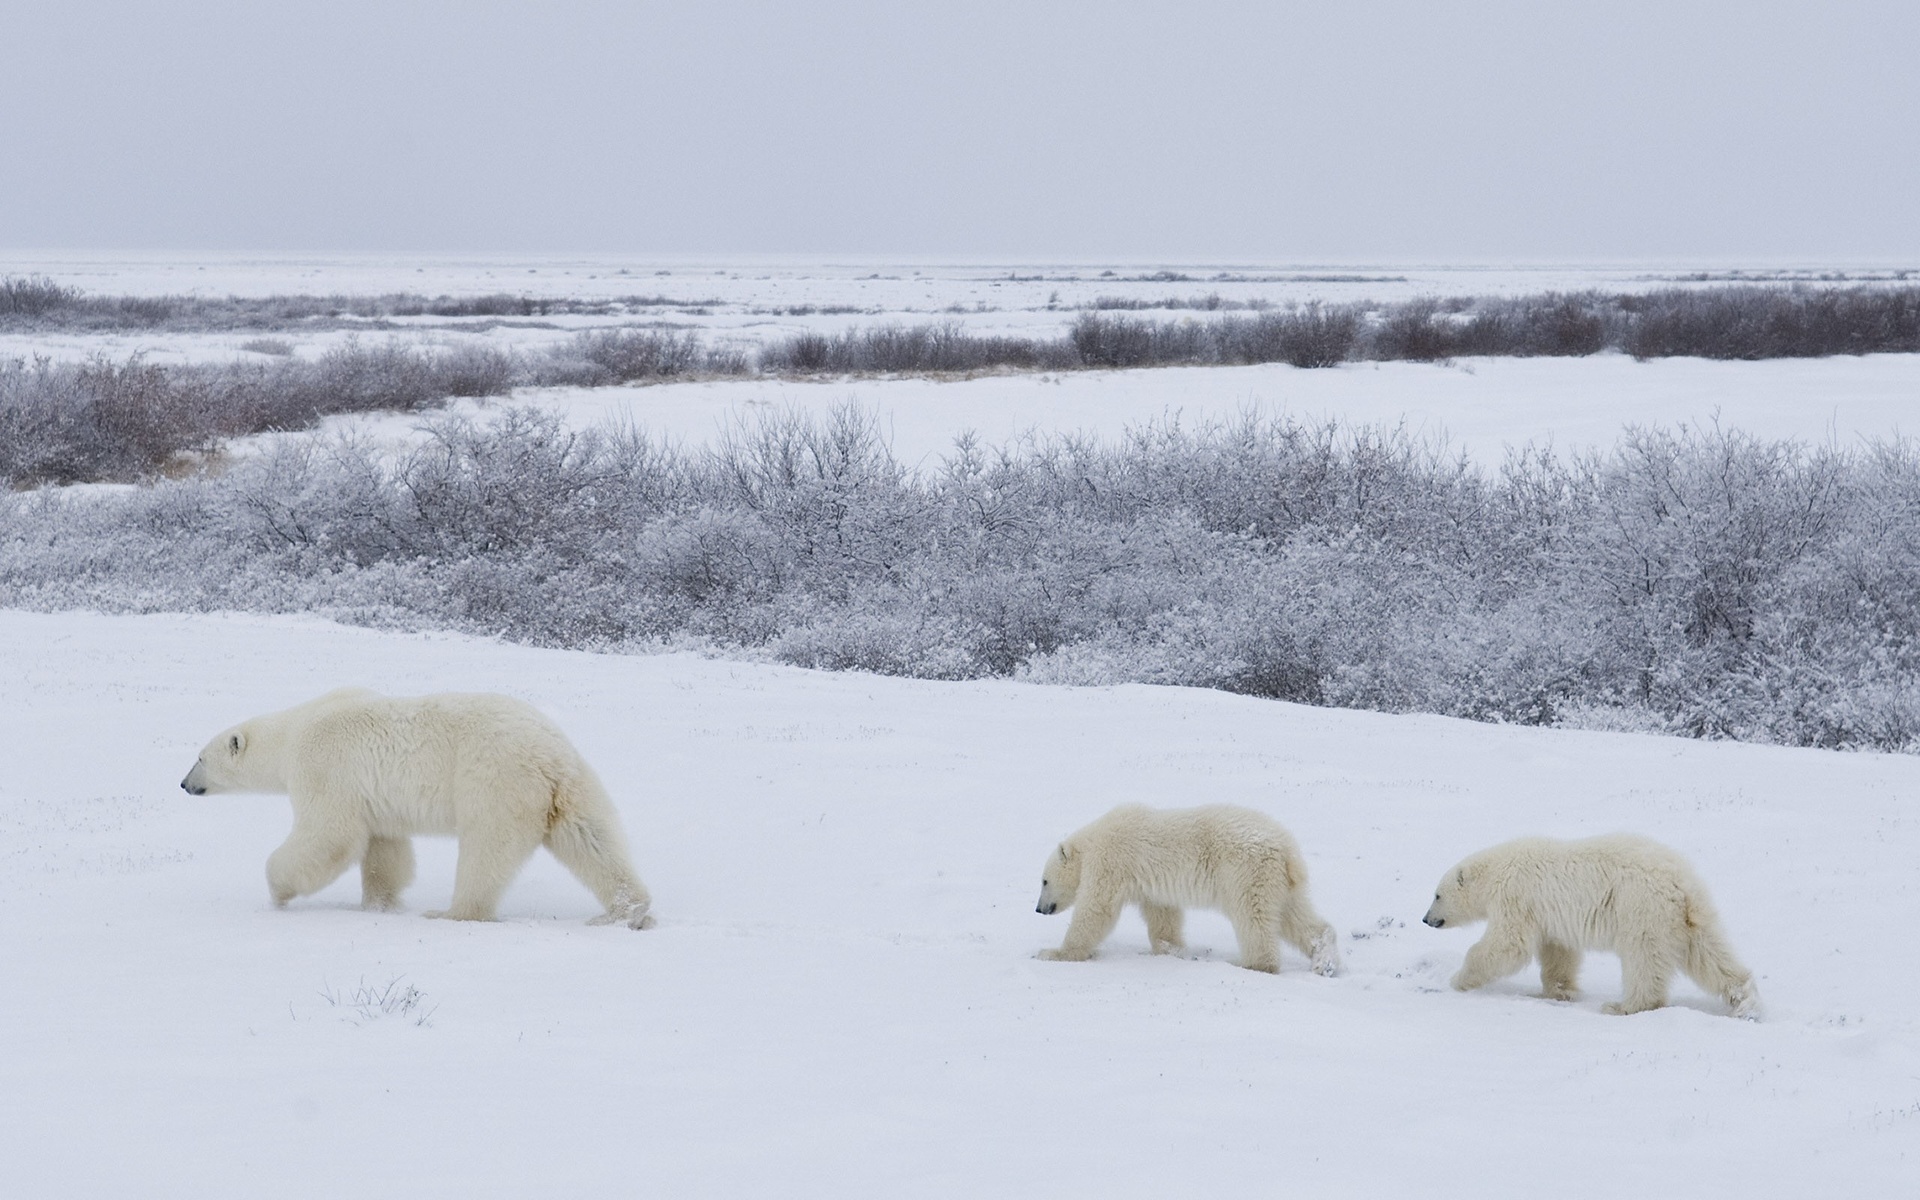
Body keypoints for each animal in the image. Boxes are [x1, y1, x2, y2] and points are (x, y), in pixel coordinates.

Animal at [183, 687, 656, 933]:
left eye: (200, 757)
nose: (184, 784)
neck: (293, 732)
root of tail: (549, 756)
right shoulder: (374, 798)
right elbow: (384, 850)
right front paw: (379, 905)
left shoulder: (326, 767)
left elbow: (329, 834)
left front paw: (278, 892)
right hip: (572, 786)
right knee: (593, 840)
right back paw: (625, 911)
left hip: (494, 781)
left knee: (486, 850)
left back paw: (453, 912)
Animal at [1036, 806, 1336, 975]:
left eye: (1044, 881)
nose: (1039, 908)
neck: (1093, 840)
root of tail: (1287, 850)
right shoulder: (1151, 885)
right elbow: (1163, 916)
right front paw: (1171, 950)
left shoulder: (1111, 861)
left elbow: (1096, 909)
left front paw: (1053, 953)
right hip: (1280, 883)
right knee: (1296, 917)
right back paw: (1325, 962)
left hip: (1246, 872)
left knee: (1253, 917)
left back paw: (1252, 964)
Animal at [1420, 837, 1758, 1013]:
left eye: (1437, 895)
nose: (1426, 919)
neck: (1496, 871)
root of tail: (1681, 884)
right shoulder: (1548, 915)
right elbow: (1558, 952)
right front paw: (1560, 991)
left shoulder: (1516, 897)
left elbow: (1507, 945)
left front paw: (1458, 979)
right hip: (1688, 916)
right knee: (1709, 953)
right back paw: (1744, 1001)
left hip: (1641, 910)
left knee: (1643, 960)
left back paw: (1624, 1006)